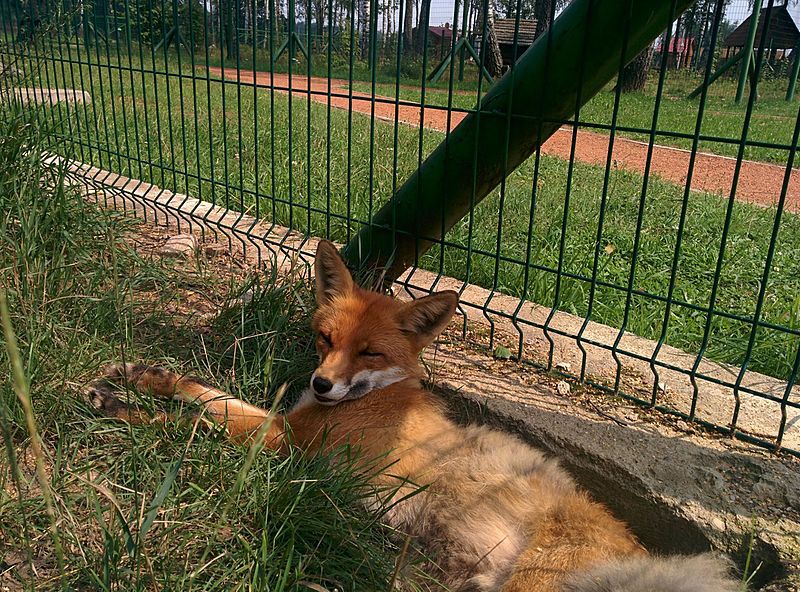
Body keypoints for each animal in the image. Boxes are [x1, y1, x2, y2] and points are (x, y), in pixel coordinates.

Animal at [88, 239, 741, 592]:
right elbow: (201, 391)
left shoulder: (286, 443)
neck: (382, 394)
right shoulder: (287, 426)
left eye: (370, 353)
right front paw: (139, 378)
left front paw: (124, 408)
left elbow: (194, 422)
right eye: (325, 339)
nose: (321, 384)